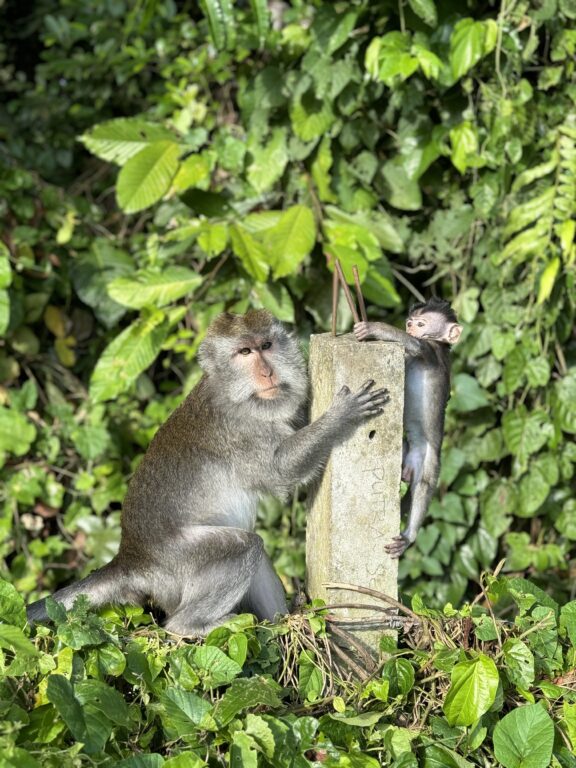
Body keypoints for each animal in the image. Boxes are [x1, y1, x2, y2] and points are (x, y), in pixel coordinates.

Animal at [27, 310, 390, 636]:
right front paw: (341, 415)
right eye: (245, 352)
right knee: (246, 546)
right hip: (178, 564)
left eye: (266, 345)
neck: (232, 391)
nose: (267, 372)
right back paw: (191, 625)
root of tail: (131, 557)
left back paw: (283, 622)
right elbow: (281, 472)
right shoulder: (239, 428)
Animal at [353, 297, 462, 558]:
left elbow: (416, 346)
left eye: (421, 324)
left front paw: (374, 327)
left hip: (429, 459)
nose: (411, 329)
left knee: (424, 485)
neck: (443, 346)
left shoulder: (432, 351)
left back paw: (409, 536)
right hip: (404, 457)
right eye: (410, 323)